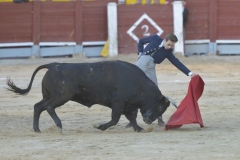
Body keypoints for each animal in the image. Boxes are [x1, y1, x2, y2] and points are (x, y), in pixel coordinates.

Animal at [6, 60, 174, 132]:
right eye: (160, 107)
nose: (148, 120)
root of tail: (53, 65)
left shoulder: (128, 105)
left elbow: (131, 118)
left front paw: (138, 128)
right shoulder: (118, 103)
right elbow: (115, 119)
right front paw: (100, 127)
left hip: (49, 96)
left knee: (38, 107)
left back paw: (37, 129)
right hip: (62, 96)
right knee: (48, 107)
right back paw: (59, 125)